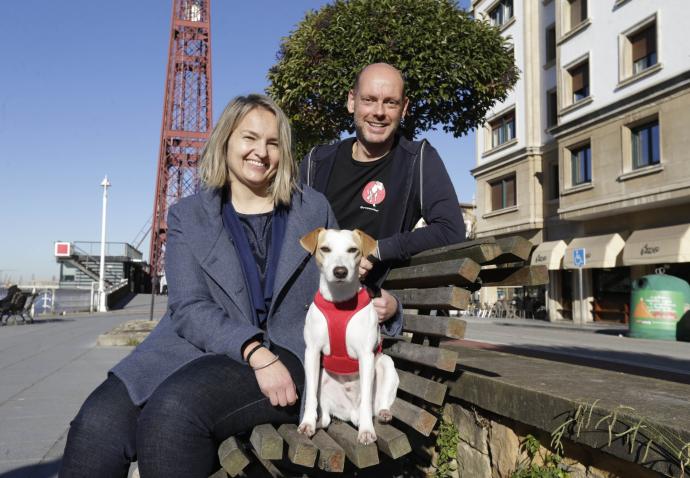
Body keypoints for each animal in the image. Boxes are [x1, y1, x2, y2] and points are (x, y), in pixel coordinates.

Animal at [296, 228, 398, 444]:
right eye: (325, 249)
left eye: (353, 250)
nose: (340, 271)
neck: (339, 302)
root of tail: (350, 413)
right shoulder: (312, 352)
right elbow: (310, 395)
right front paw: (307, 422)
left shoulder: (366, 356)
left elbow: (366, 399)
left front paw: (366, 431)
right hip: (323, 378)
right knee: (326, 416)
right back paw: (318, 421)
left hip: (385, 364)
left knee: (380, 401)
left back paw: (383, 413)